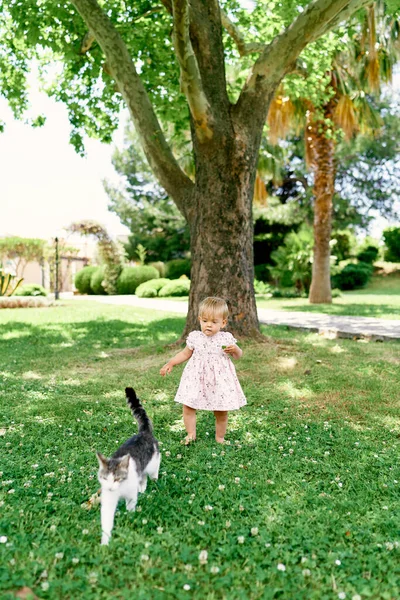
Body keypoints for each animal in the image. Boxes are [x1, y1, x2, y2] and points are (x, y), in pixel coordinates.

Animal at [96, 386, 160, 548]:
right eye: (105, 478)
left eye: (117, 478)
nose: (110, 487)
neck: (120, 489)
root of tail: (143, 432)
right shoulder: (109, 500)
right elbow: (106, 522)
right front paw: (105, 543)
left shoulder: (131, 495)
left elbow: (130, 507)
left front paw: (130, 518)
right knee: (143, 478)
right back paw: (143, 488)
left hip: (153, 464)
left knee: (152, 474)